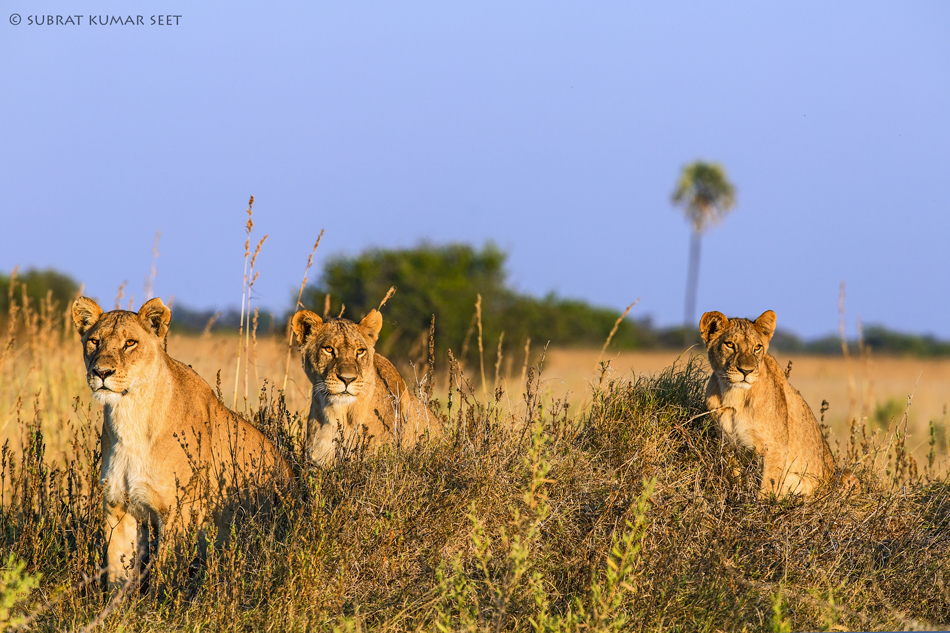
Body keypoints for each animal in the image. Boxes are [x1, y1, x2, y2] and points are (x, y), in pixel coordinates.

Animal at [72, 296, 291, 590]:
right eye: (94, 341)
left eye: (130, 343)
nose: (101, 372)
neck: (129, 416)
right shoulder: (118, 508)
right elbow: (118, 574)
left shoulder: (178, 511)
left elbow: (165, 574)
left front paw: (160, 601)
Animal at [700, 309, 836, 496]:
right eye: (729, 344)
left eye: (757, 347)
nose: (746, 371)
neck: (734, 394)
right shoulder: (730, 445)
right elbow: (736, 480)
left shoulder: (774, 448)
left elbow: (767, 487)